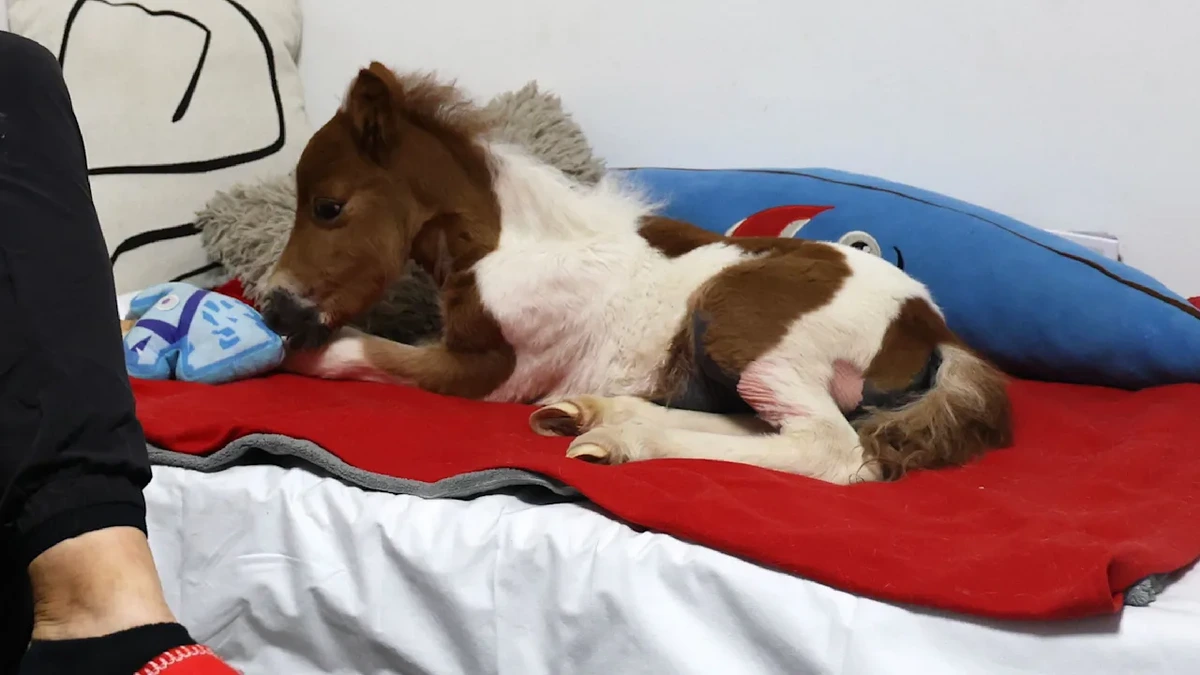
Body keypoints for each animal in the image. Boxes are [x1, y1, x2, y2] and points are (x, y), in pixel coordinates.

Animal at [259, 62, 1012, 484]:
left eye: (328, 207)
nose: (274, 307)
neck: (513, 242)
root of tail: (932, 325)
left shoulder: (487, 372)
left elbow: (353, 352)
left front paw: (282, 350)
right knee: (762, 428)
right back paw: (598, 415)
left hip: (739, 325)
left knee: (831, 449)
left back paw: (618, 437)